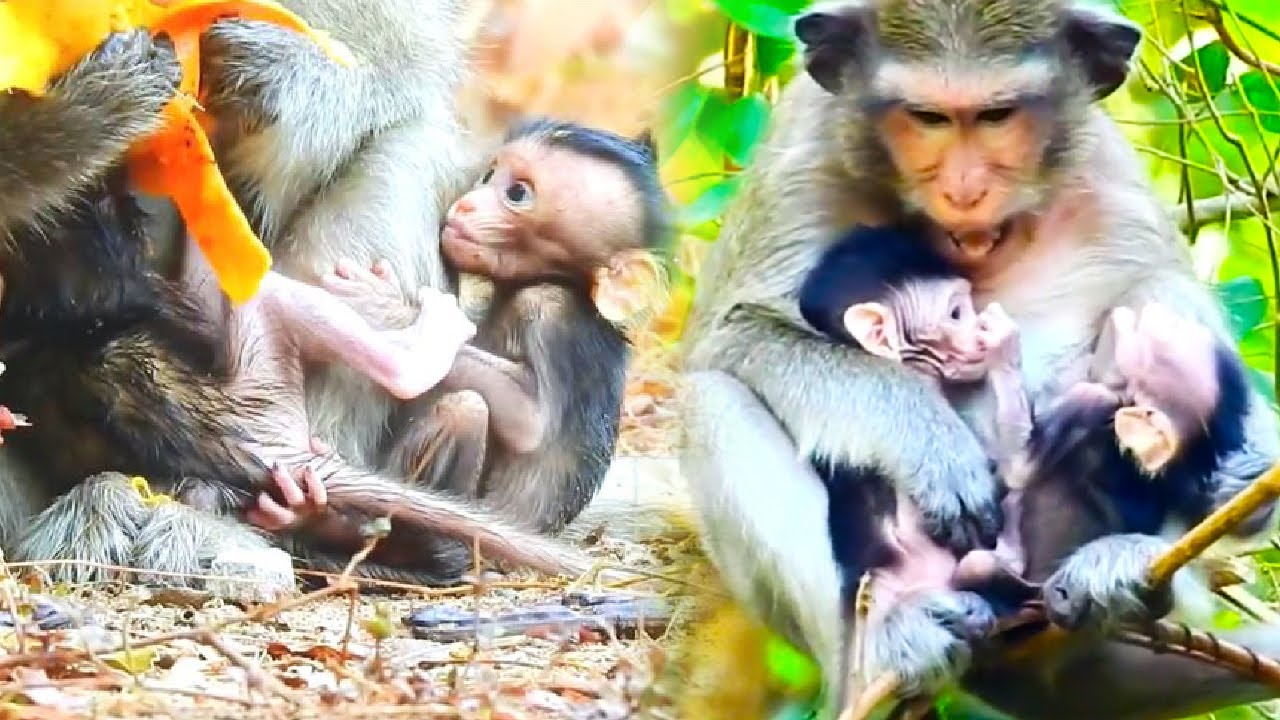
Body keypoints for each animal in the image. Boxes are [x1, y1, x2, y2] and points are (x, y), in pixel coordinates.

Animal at [246, 117, 672, 579]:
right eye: (489, 175)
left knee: (464, 410)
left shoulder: (551, 311)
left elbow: (529, 421)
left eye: (517, 193)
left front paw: (387, 308)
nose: (467, 205)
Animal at [675, 1, 1280, 716]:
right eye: (928, 117)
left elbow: (1158, 294)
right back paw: (887, 648)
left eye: (997, 116)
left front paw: (1241, 466)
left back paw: (1125, 567)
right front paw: (928, 442)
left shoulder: (1107, 179)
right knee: (712, 397)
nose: (964, 191)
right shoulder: (800, 165)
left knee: (1155, 302)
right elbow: (734, 336)